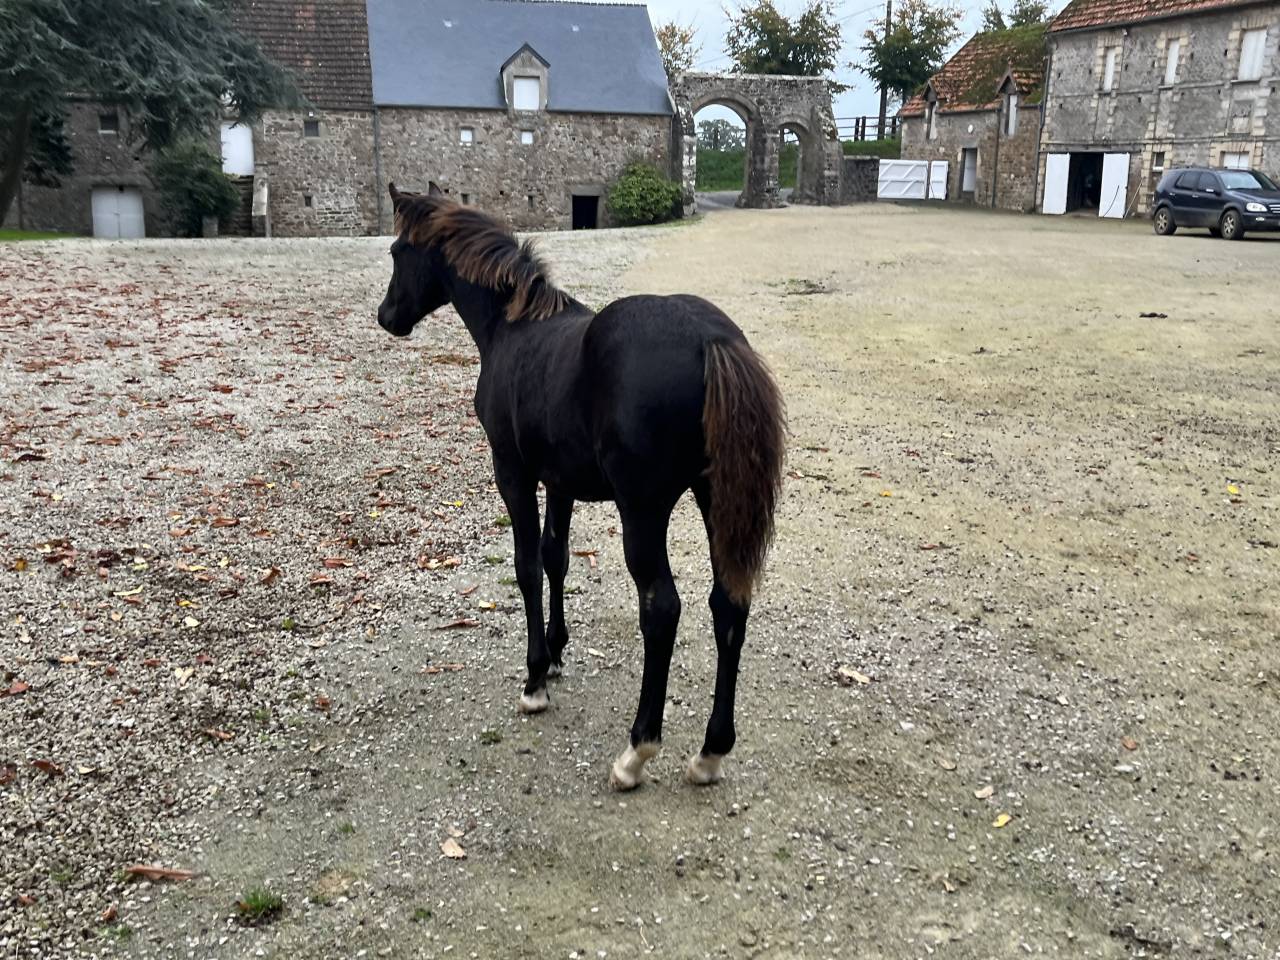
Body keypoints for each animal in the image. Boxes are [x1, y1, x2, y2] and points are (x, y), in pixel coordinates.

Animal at [376, 182, 785, 790]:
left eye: (398, 251)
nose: (388, 317)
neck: (512, 329)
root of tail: (711, 339)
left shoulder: (513, 471)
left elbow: (525, 566)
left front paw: (535, 680)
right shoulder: (560, 480)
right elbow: (556, 557)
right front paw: (556, 651)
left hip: (643, 510)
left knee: (661, 609)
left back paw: (637, 751)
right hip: (714, 500)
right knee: (728, 603)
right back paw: (710, 752)